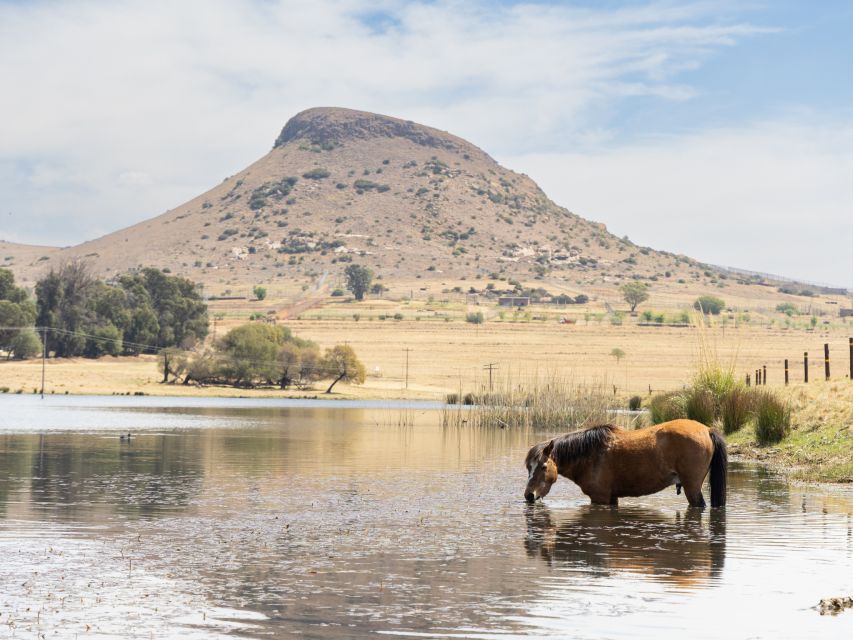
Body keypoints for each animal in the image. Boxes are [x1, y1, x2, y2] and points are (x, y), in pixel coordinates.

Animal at [524, 420, 724, 510]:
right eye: (528, 467)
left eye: (543, 467)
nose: (529, 495)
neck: (591, 454)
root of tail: (707, 429)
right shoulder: (612, 498)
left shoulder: (600, 498)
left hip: (692, 488)